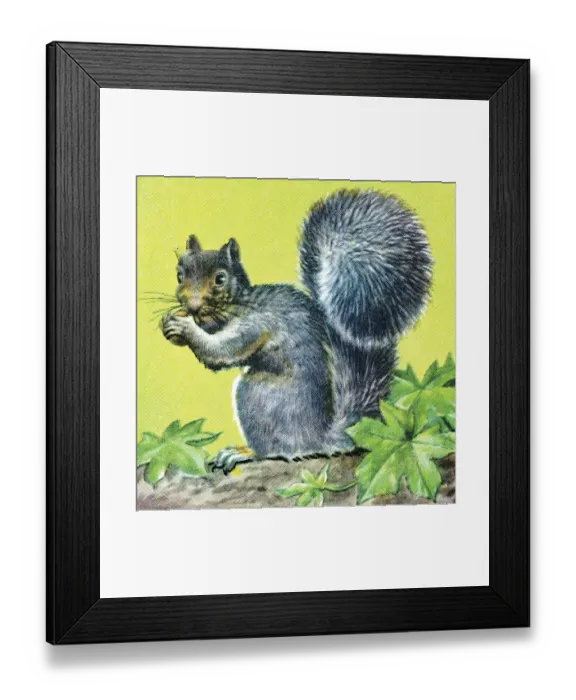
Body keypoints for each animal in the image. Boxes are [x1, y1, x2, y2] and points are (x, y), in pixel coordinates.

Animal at [162, 189, 433, 474]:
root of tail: (319, 435)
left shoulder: (259, 323)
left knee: (277, 448)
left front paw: (186, 328)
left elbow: (223, 350)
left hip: (259, 397)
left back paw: (246, 452)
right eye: (179, 275)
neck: (238, 304)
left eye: (220, 279)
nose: (192, 306)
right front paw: (171, 324)